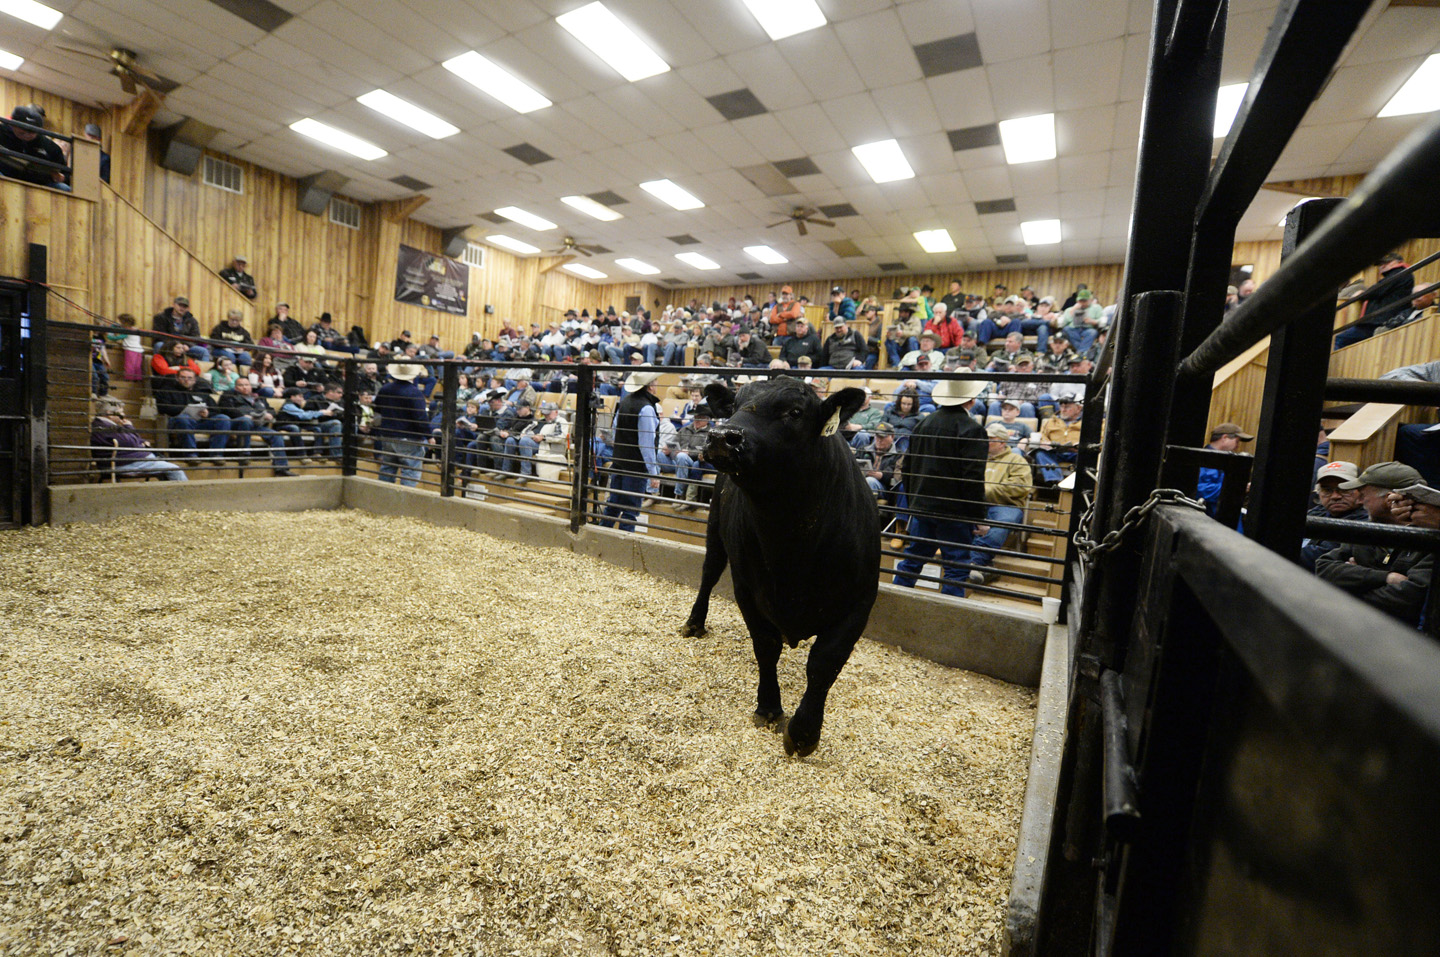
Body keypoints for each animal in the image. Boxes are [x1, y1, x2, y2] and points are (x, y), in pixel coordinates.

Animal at [682, 377, 881, 759]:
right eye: (734, 406)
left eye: (795, 412)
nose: (723, 436)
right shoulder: (747, 589)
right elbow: (766, 645)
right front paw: (769, 708)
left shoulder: (859, 603)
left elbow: (824, 663)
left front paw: (804, 732)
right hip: (715, 531)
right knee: (708, 574)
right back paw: (693, 623)